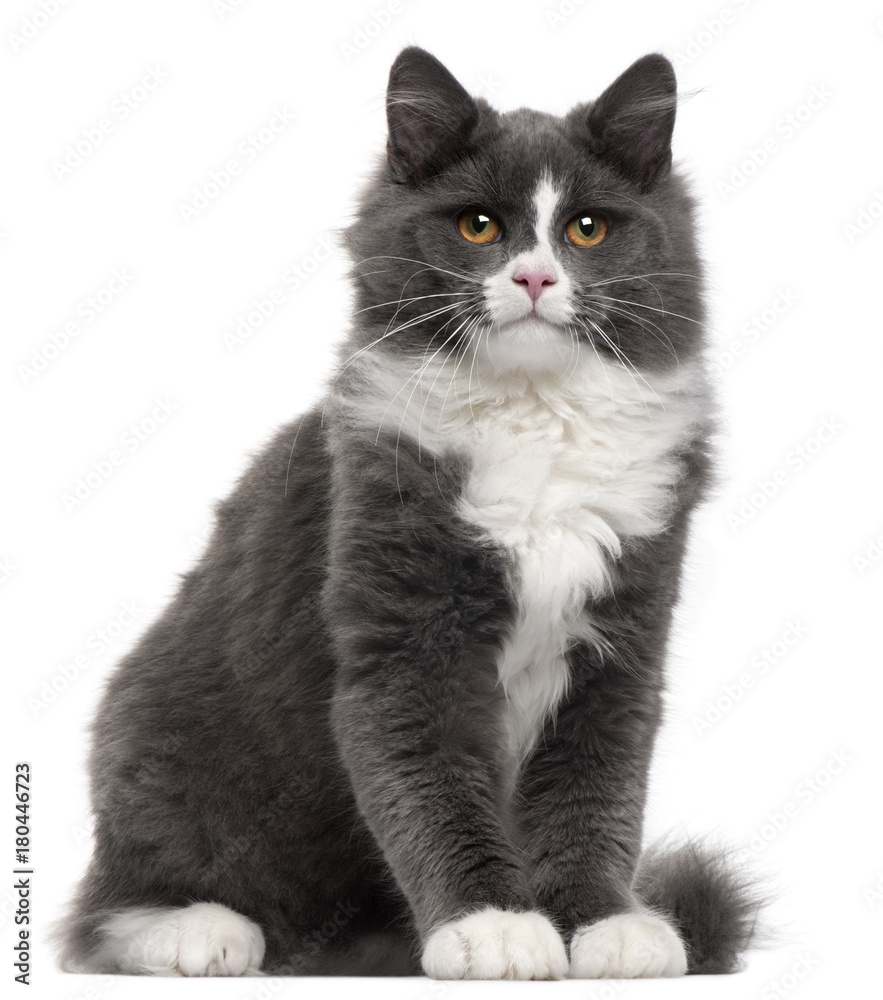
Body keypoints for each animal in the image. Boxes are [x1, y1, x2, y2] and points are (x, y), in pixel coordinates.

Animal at [53, 45, 760, 976]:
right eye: (478, 227)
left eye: (585, 230)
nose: (534, 277)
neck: (534, 420)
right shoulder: (408, 644)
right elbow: (434, 791)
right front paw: (492, 924)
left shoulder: (621, 649)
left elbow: (593, 796)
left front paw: (605, 923)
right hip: (159, 739)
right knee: (111, 905)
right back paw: (198, 930)